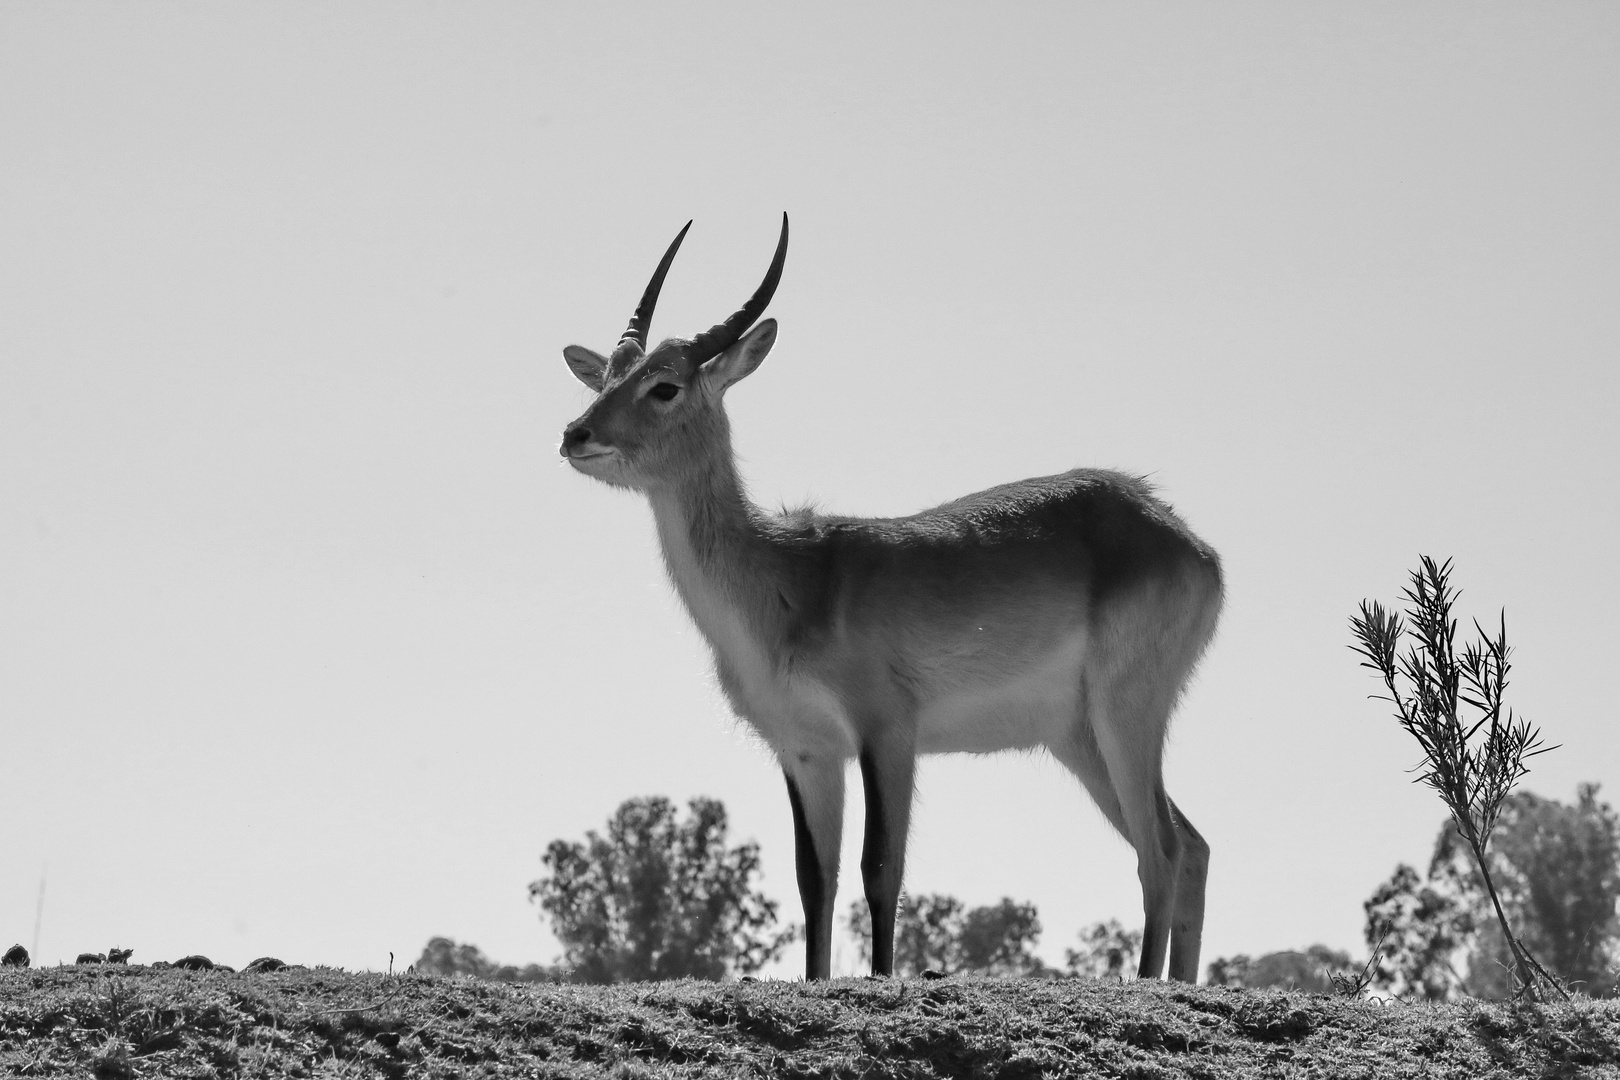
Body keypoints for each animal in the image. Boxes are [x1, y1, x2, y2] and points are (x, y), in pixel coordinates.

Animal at [563, 215, 1218, 984]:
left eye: (663, 385)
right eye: (608, 375)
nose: (575, 434)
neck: (790, 582)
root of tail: (1181, 536)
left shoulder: (888, 732)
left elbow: (881, 868)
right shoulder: (808, 750)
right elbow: (815, 880)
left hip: (1126, 712)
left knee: (1161, 849)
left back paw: (1148, 985)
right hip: (1078, 738)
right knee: (1190, 845)